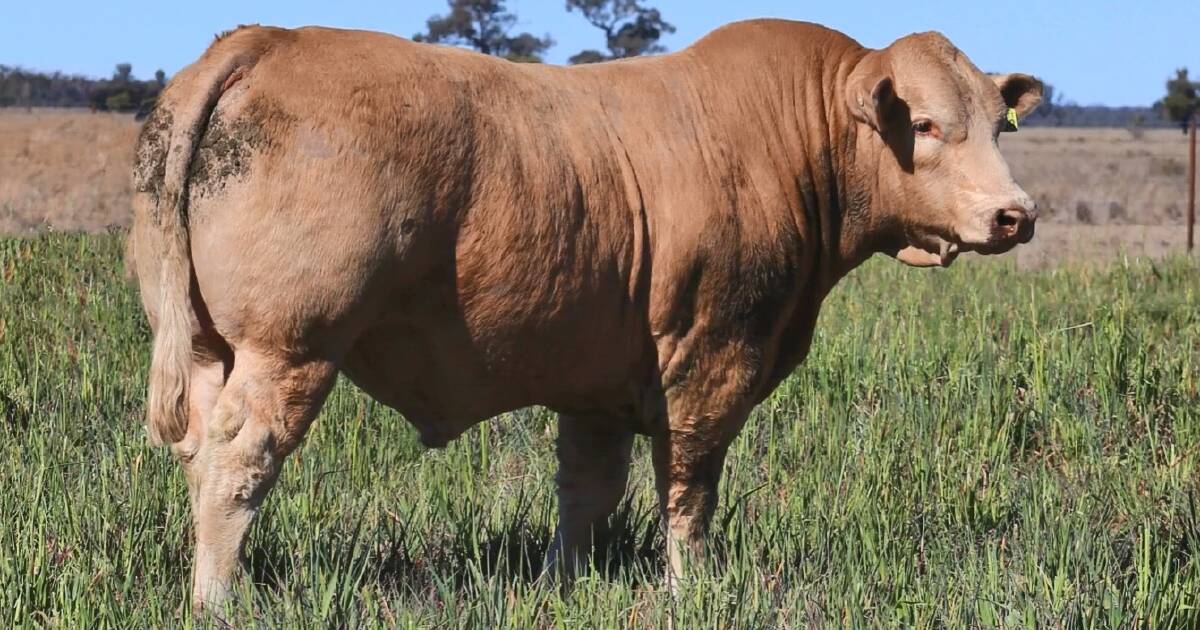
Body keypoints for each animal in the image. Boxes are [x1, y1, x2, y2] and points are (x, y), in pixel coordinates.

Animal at [128, 19, 1041, 610]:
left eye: (998, 126)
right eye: (926, 124)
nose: (1015, 214)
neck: (790, 138)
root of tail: (269, 39)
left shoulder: (598, 381)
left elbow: (586, 492)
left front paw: (562, 587)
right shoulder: (712, 361)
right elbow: (689, 491)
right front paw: (688, 589)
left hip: (208, 345)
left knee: (200, 453)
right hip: (288, 348)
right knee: (240, 461)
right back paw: (219, 599)